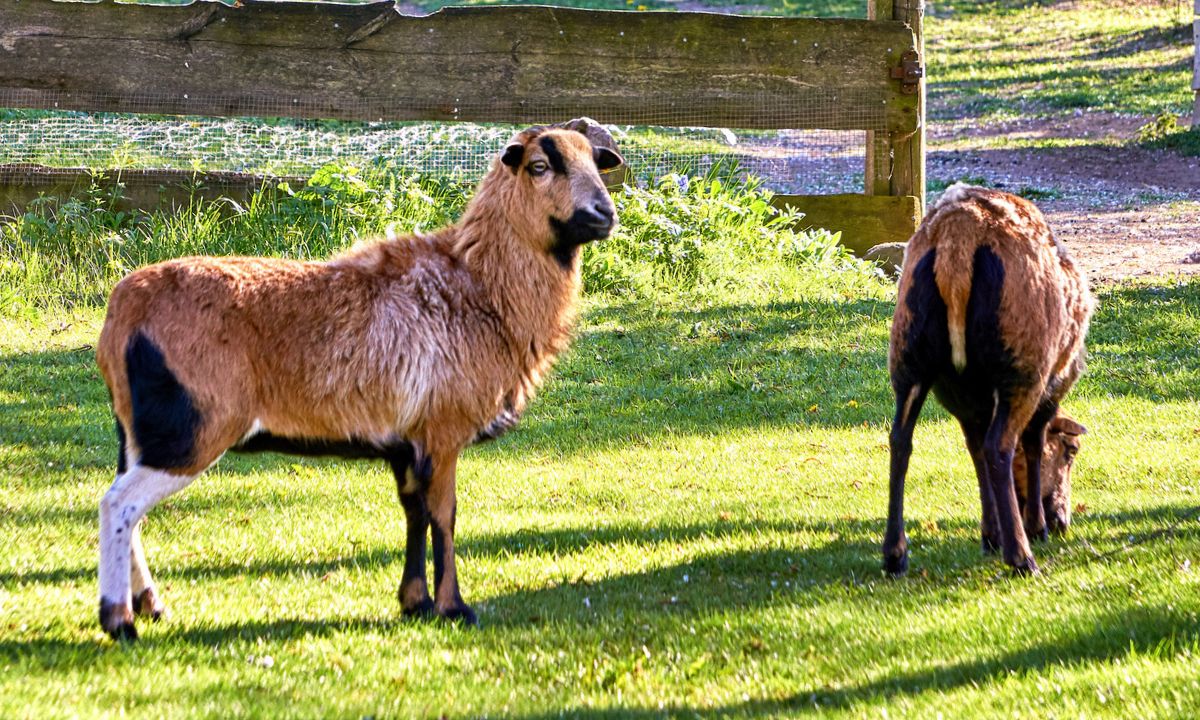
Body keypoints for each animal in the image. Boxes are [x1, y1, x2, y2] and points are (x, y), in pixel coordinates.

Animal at [91, 119, 628, 643]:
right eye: (539, 165)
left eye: (595, 162)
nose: (604, 214)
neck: (481, 288)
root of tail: (120, 312)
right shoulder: (442, 429)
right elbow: (445, 515)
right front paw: (454, 608)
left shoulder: (405, 442)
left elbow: (414, 512)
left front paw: (415, 602)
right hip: (193, 425)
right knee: (118, 504)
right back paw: (119, 620)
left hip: (141, 430)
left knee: (128, 505)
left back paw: (151, 604)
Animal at [883, 184, 1099, 573]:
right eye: (1071, 452)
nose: (1062, 521)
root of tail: (958, 238)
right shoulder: (1049, 389)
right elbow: (1031, 445)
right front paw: (1035, 528)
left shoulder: (962, 399)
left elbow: (973, 450)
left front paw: (990, 535)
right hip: (1021, 364)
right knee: (1000, 446)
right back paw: (1022, 556)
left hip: (909, 354)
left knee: (901, 442)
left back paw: (895, 554)